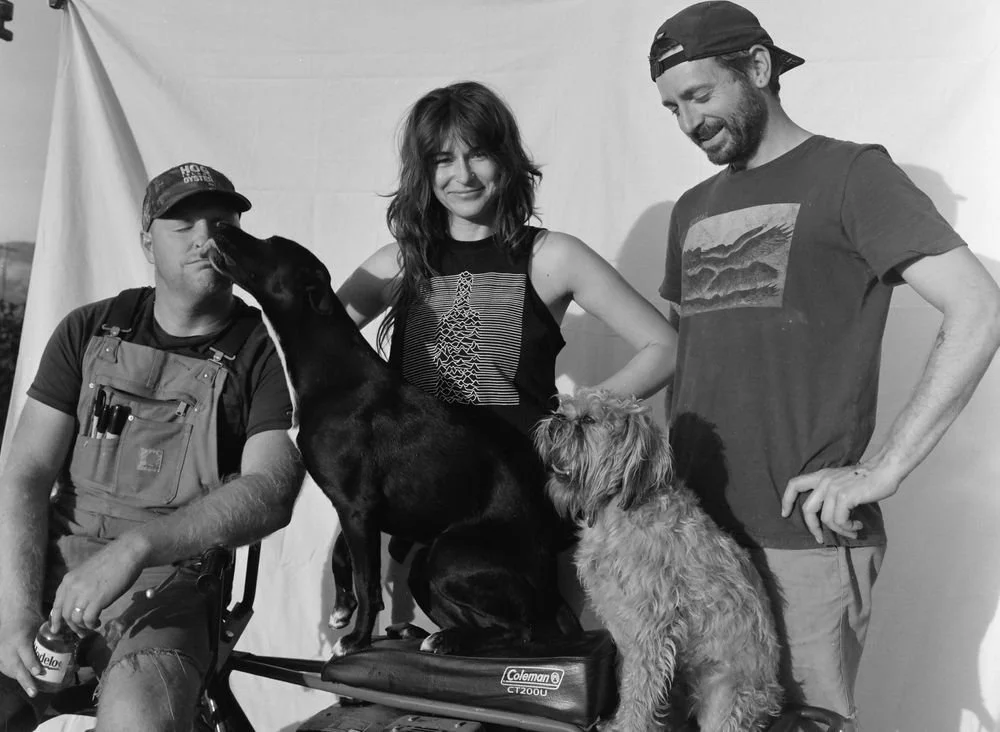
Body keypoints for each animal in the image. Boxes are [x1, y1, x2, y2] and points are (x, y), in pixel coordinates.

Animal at [207, 223, 576, 657]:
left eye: (270, 244)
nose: (220, 225)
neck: (334, 373)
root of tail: (552, 591)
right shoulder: (356, 507)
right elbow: (344, 556)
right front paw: (342, 607)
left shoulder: (357, 503)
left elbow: (368, 583)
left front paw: (356, 638)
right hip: (424, 563)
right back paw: (422, 633)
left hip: (447, 554)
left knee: (521, 629)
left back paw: (443, 639)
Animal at [534, 389, 783, 731]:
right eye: (563, 407)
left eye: (588, 419)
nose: (556, 418)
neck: (618, 510)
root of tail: (771, 698)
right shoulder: (628, 631)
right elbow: (630, 681)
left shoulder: (651, 629)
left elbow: (639, 689)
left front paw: (626, 726)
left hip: (723, 697)